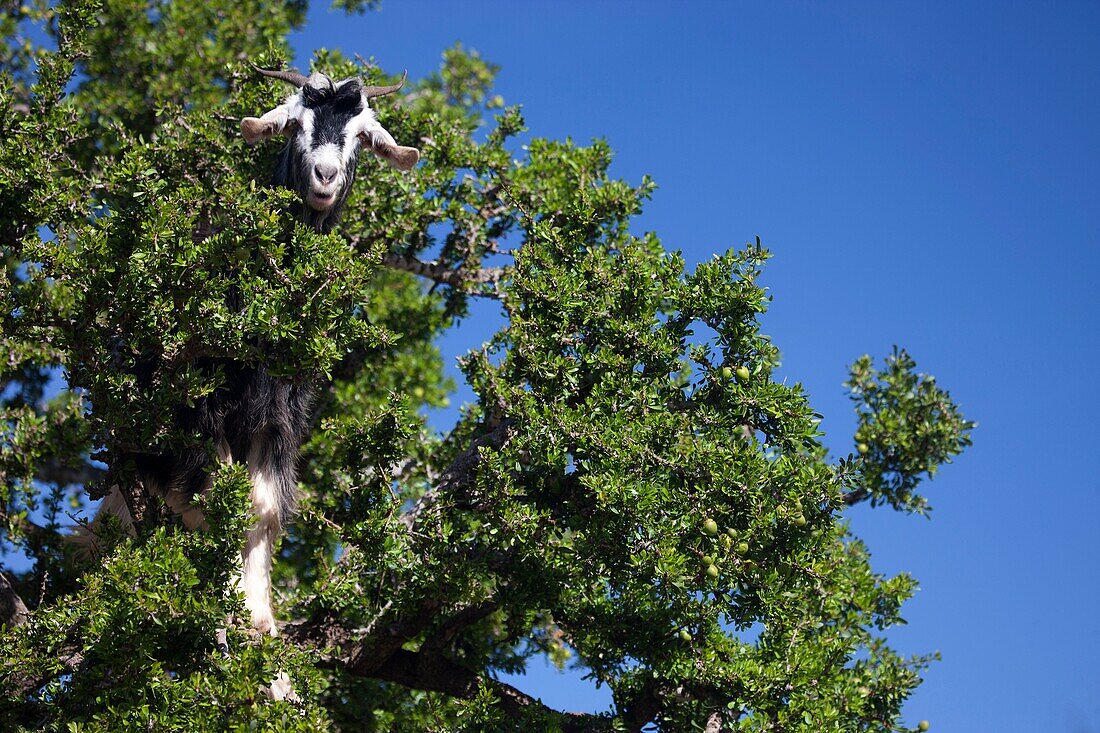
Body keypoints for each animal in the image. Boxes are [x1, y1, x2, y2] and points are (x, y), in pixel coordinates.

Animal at [84, 67, 420, 638]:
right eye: (293, 125)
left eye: (362, 137)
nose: (325, 177)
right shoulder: (199, 405)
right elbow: (222, 498)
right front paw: (226, 610)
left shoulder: (280, 415)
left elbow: (262, 505)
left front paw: (260, 621)